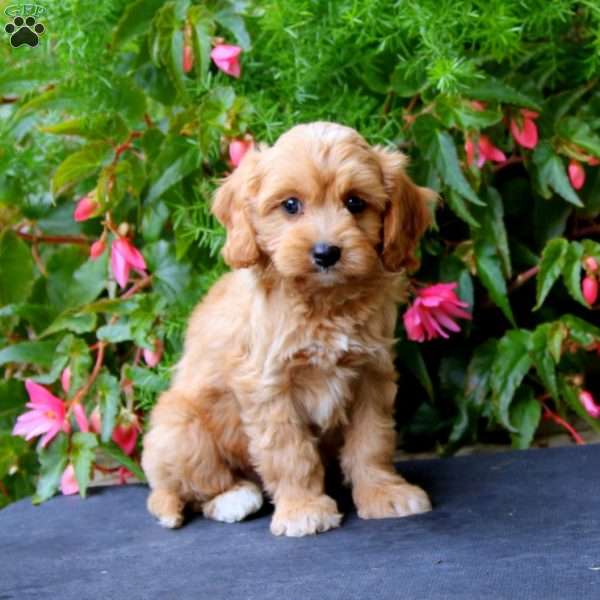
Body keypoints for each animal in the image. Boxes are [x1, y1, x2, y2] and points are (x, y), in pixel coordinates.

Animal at [143, 120, 434, 536]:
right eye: (291, 205)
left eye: (355, 203)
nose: (326, 253)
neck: (323, 302)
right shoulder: (269, 384)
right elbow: (289, 452)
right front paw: (303, 509)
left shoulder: (371, 373)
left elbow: (372, 441)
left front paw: (384, 493)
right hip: (180, 427)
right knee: (186, 487)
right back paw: (234, 498)